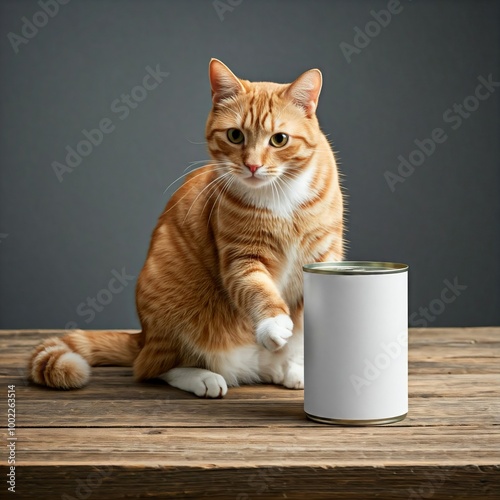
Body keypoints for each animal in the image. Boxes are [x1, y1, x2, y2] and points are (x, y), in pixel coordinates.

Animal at [27, 57, 344, 398]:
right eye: (235, 136)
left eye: (279, 139)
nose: (253, 165)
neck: (279, 194)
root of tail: (143, 336)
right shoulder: (241, 258)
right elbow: (258, 288)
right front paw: (274, 322)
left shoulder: (324, 255)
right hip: (172, 313)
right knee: (152, 368)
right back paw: (203, 378)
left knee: (267, 363)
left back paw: (287, 369)